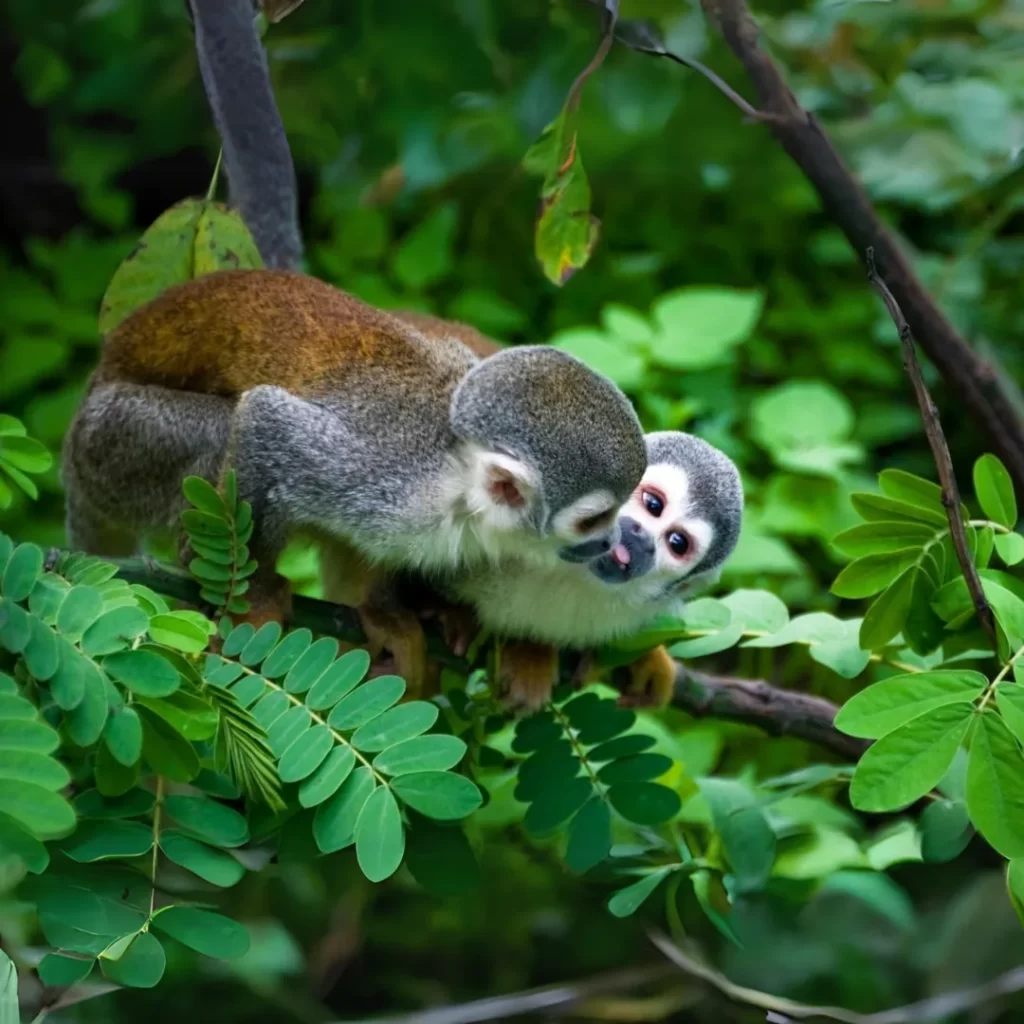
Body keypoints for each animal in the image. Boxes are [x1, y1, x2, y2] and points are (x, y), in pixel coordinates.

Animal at [62, 269, 647, 698]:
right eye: (595, 519)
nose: (613, 542)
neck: (455, 479)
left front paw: (389, 609)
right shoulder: (389, 479)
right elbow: (266, 419)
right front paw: (252, 595)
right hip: (117, 440)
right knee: (219, 431)